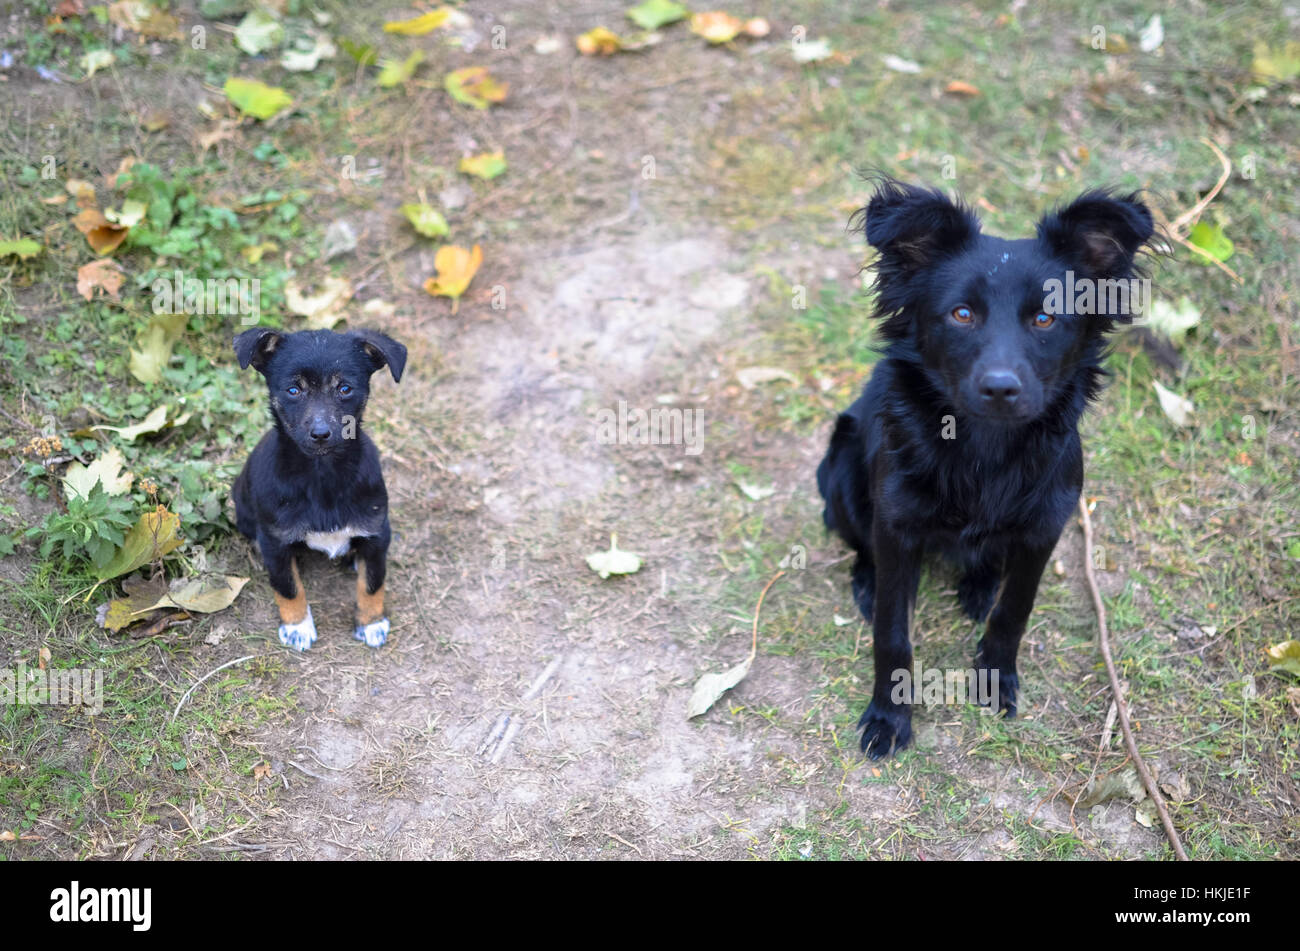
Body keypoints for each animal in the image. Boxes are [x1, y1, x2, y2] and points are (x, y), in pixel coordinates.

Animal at [232, 328, 405, 654]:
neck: (322, 474)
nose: (321, 434)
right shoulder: (275, 540)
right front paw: (298, 626)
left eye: (345, 389)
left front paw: (371, 622)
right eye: (293, 390)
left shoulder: (376, 531)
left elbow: (372, 582)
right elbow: (288, 586)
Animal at [816, 177, 1154, 758]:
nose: (1000, 388)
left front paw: (996, 678)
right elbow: (892, 633)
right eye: (961, 314)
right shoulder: (897, 524)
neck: (985, 448)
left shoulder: (1044, 527)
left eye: (1045, 318)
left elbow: (1012, 613)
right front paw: (888, 716)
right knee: (859, 543)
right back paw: (867, 580)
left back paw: (978, 584)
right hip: (838, 468)